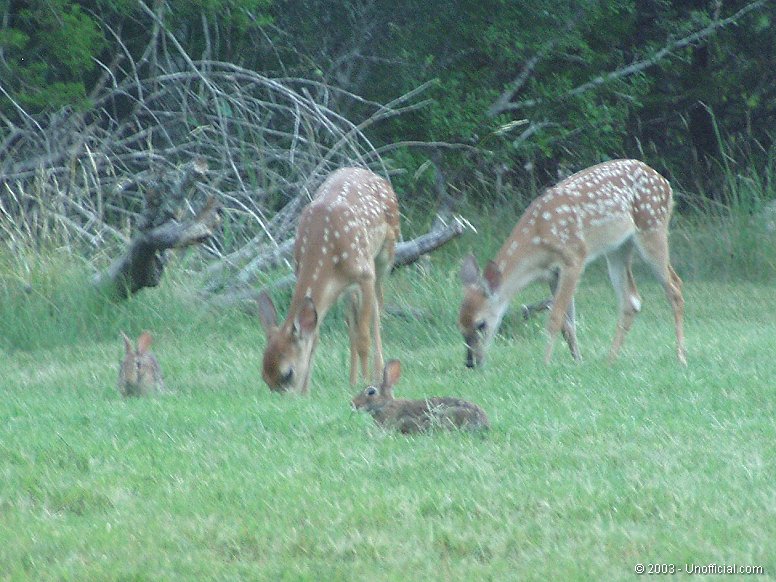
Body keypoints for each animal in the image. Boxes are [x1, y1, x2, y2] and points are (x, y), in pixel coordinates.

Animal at [260, 170, 400, 396]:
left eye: (287, 373)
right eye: (265, 377)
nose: (286, 399)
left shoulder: (365, 274)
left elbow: (364, 337)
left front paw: (366, 382)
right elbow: (316, 336)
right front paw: (307, 390)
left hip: (386, 253)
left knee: (378, 308)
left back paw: (378, 373)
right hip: (349, 289)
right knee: (352, 319)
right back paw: (352, 379)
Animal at [460, 159, 684, 370]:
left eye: (481, 324)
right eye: (460, 324)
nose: (471, 363)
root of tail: (665, 182)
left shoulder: (574, 258)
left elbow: (555, 318)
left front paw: (545, 364)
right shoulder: (553, 274)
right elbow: (568, 325)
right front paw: (578, 361)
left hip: (652, 226)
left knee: (674, 287)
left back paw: (681, 358)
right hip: (618, 247)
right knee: (631, 300)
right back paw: (609, 361)